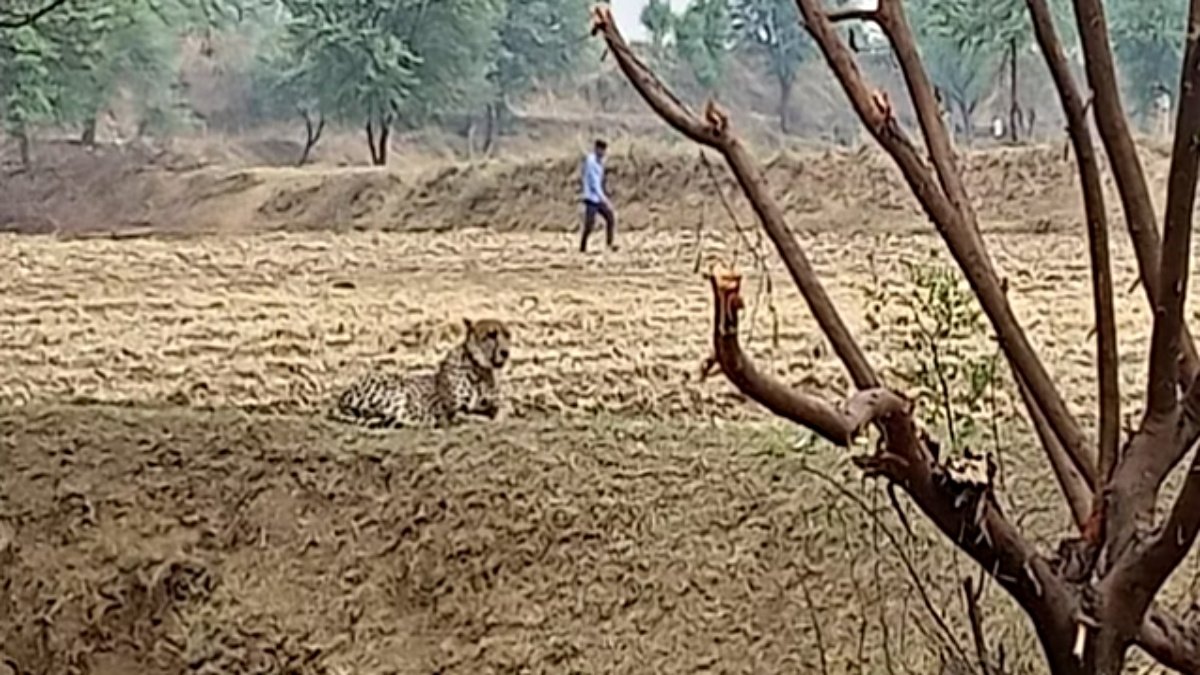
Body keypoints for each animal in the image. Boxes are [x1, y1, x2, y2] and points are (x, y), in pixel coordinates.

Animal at [329, 318, 512, 429]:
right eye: (491, 335)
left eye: (507, 335)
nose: (505, 352)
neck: (480, 369)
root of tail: (343, 395)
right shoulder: (450, 411)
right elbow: (466, 415)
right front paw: (485, 420)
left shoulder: (494, 403)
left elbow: (503, 409)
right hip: (397, 388)